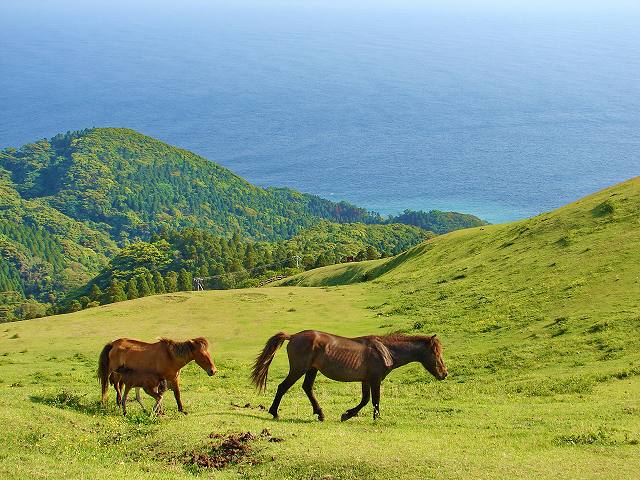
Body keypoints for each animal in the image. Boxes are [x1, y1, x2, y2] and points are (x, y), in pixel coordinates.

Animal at [251, 330, 447, 421]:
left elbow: (365, 400)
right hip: (299, 368)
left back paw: (320, 414)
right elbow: (375, 400)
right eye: (436, 353)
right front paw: (375, 418)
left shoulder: (366, 380)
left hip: (311, 369)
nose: (444, 374)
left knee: (307, 388)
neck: (386, 350)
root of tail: (293, 336)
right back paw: (274, 413)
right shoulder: (375, 379)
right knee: (283, 387)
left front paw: (347, 414)